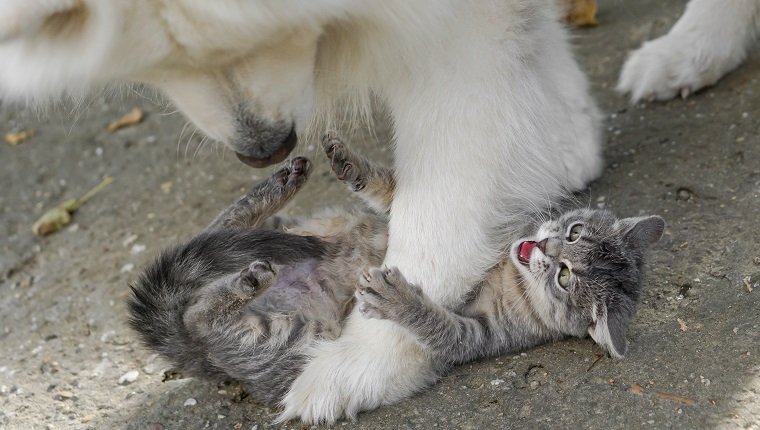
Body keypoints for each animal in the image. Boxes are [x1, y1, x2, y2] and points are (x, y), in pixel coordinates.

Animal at [0, 0, 604, 424]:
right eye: (162, 67)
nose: (264, 149)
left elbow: (436, 208)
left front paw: (367, 357)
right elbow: (408, 197)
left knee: (211, 276)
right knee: (210, 267)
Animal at [127, 134, 664, 406]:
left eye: (565, 277)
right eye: (574, 234)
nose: (547, 246)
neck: (508, 271)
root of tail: (195, 353)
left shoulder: (477, 334)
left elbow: (438, 322)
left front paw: (399, 299)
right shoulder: (417, 221)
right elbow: (391, 190)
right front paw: (352, 165)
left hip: (282, 337)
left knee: (199, 313)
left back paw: (247, 279)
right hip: (284, 233)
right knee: (216, 234)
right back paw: (278, 185)